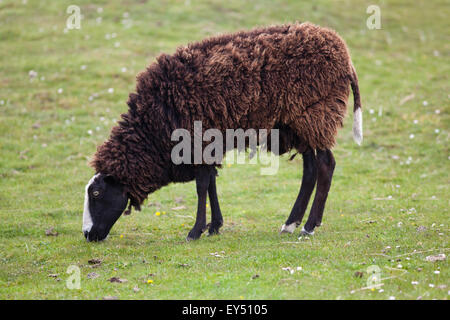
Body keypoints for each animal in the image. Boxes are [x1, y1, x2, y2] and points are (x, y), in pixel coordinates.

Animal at [81, 21, 362, 242]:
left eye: (96, 193)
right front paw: (214, 226)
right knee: (310, 170)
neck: (152, 134)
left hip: (317, 113)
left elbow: (202, 185)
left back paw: (309, 226)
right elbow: (211, 182)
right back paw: (290, 224)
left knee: (325, 165)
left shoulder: (196, 141)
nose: (87, 235)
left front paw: (195, 231)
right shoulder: (206, 144)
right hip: (297, 123)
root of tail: (344, 54)